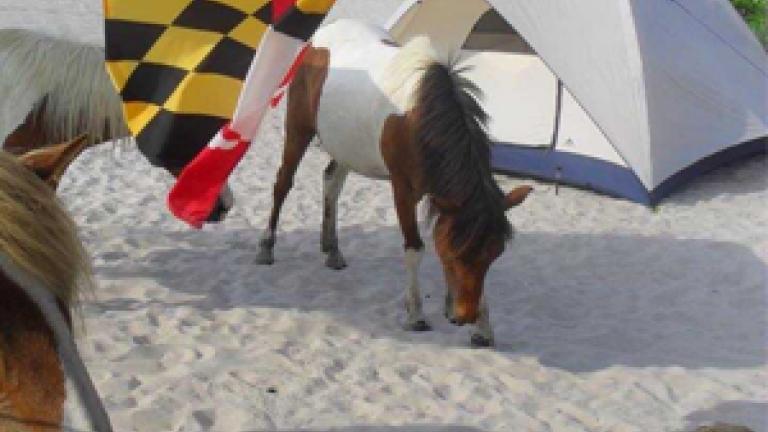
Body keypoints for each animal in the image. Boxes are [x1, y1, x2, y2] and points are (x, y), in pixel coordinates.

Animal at [258, 21, 536, 348]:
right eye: (454, 255)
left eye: (494, 255)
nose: (465, 315)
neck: (419, 116)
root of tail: (319, 37)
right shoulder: (403, 190)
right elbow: (415, 248)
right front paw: (416, 315)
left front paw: (480, 325)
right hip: (298, 127)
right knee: (283, 183)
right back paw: (266, 246)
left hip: (346, 145)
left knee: (331, 182)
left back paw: (332, 248)